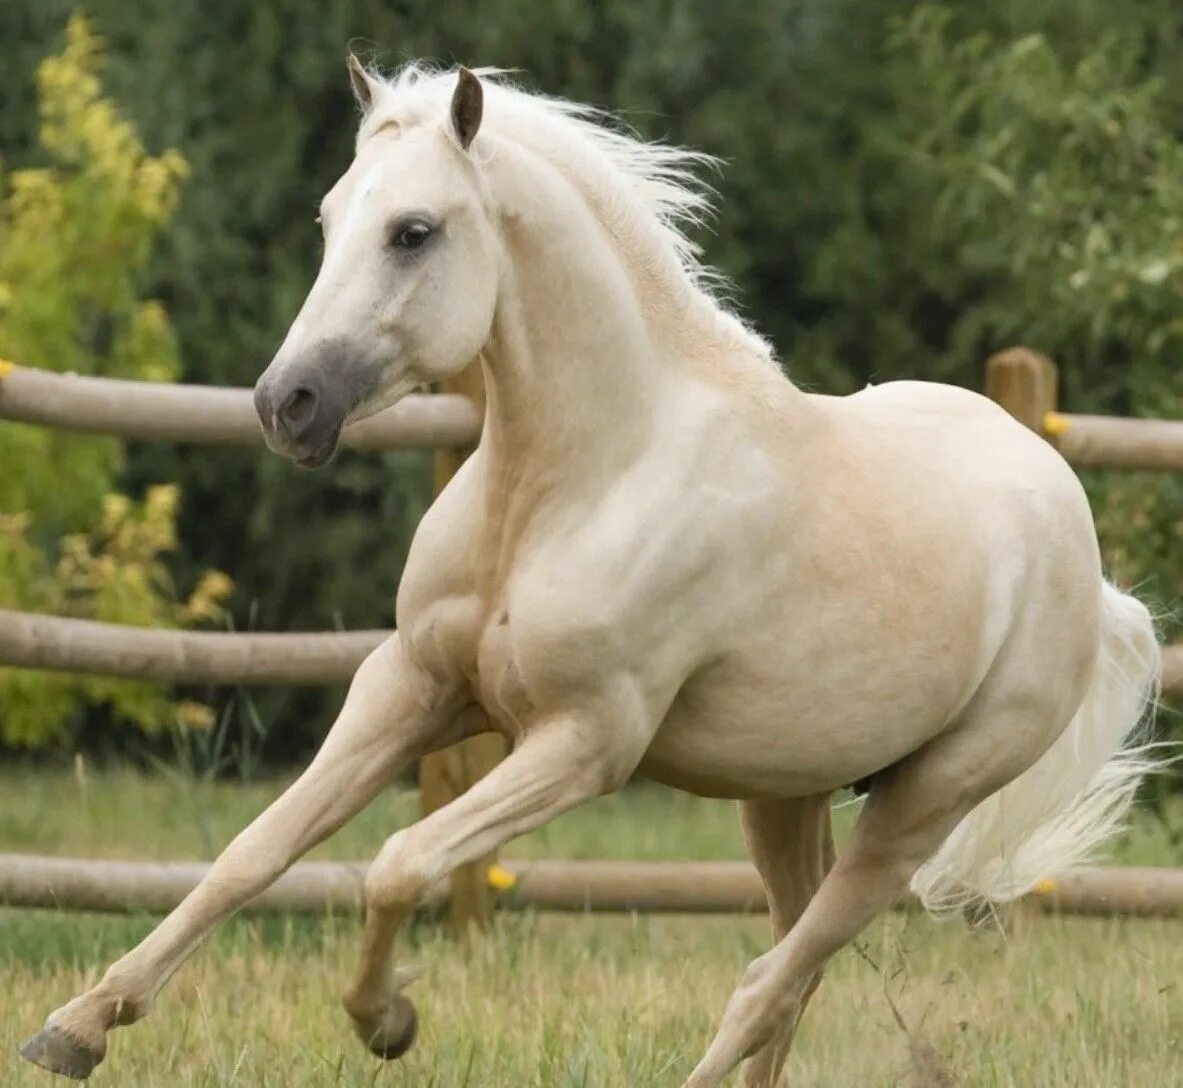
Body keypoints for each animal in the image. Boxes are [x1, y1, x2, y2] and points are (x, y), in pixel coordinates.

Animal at [23, 61, 1159, 1088]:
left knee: (768, 979)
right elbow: (254, 852)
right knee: (793, 975)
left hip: (921, 802)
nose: (286, 404)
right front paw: (77, 1026)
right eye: (331, 217)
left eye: (413, 231)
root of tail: (1080, 548)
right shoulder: (409, 685)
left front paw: (387, 1020)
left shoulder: (584, 739)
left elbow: (400, 862)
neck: (575, 482)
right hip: (782, 793)